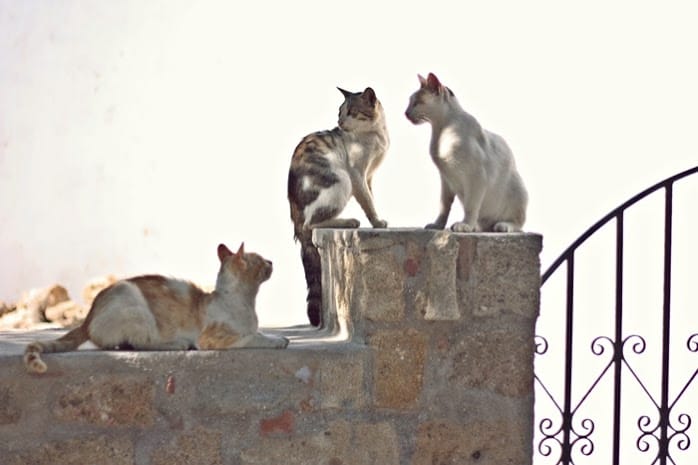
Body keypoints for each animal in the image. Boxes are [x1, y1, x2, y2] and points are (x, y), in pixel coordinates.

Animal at [24, 243, 286, 374]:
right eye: (261, 259)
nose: (272, 261)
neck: (245, 302)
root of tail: (87, 317)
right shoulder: (215, 339)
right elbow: (254, 337)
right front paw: (277, 341)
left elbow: (259, 331)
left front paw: (276, 336)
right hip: (136, 309)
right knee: (139, 344)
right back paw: (179, 344)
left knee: (125, 344)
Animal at [286, 87, 388, 326]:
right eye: (341, 112)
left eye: (350, 112)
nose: (339, 122)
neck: (376, 134)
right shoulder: (358, 175)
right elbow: (368, 201)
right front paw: (377, 221)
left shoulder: (369, 176)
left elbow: (371, 197)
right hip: (342, 180)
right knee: (312, 224)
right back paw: (348, 221)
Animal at [402, 72, 528, 232]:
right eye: (410, 102)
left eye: (417, 103)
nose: (406, 113)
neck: (441, 129)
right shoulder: (446, 178)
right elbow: (444, 206)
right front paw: (438, 225)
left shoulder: (476, 177)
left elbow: (470, 206)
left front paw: (465, 225)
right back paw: (477, 227)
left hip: (518, 189)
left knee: (517, 223)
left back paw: (501, 225)